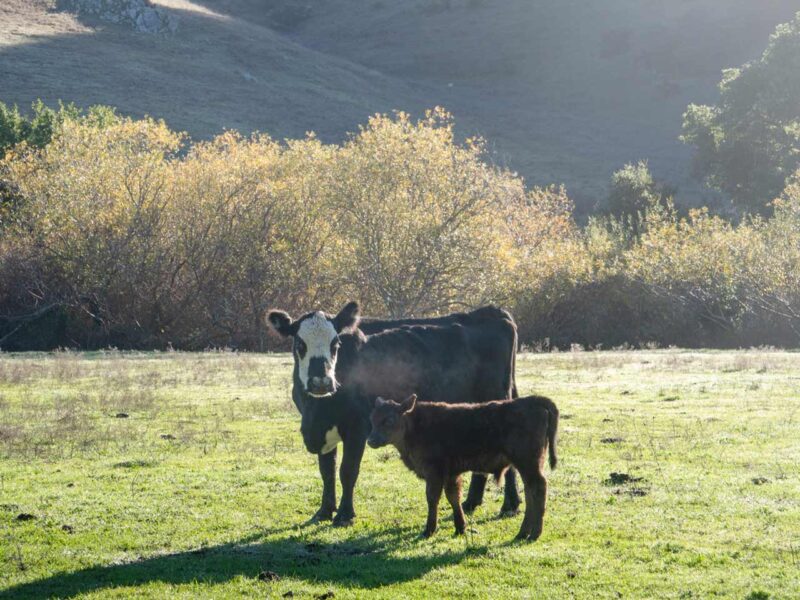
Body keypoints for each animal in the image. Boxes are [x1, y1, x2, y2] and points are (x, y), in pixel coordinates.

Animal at [266, 301, 520, 525]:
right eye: (300, 344)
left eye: (335, 344)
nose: (322, 382)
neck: (318, 409)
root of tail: (492, 312)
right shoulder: (321, 428)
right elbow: (326, 471)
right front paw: (324, 511)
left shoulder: (358, 427)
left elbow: (347, 470)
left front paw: (345, 514)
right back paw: (472, 501)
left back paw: (510, 504)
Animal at [367, 394, 559, 541]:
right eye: (373, 418)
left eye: (389, 420)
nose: (371, 440)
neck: (414, 426)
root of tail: (531, 400)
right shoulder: (451, 474)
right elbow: (453, 497)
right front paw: (460, 527)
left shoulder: (434, 472)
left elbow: (432, 498)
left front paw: (429, 530)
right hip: (528, 466)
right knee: (529, 491)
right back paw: (523, 533)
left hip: (528, 463)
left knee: (539, 488)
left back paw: (533, 534)